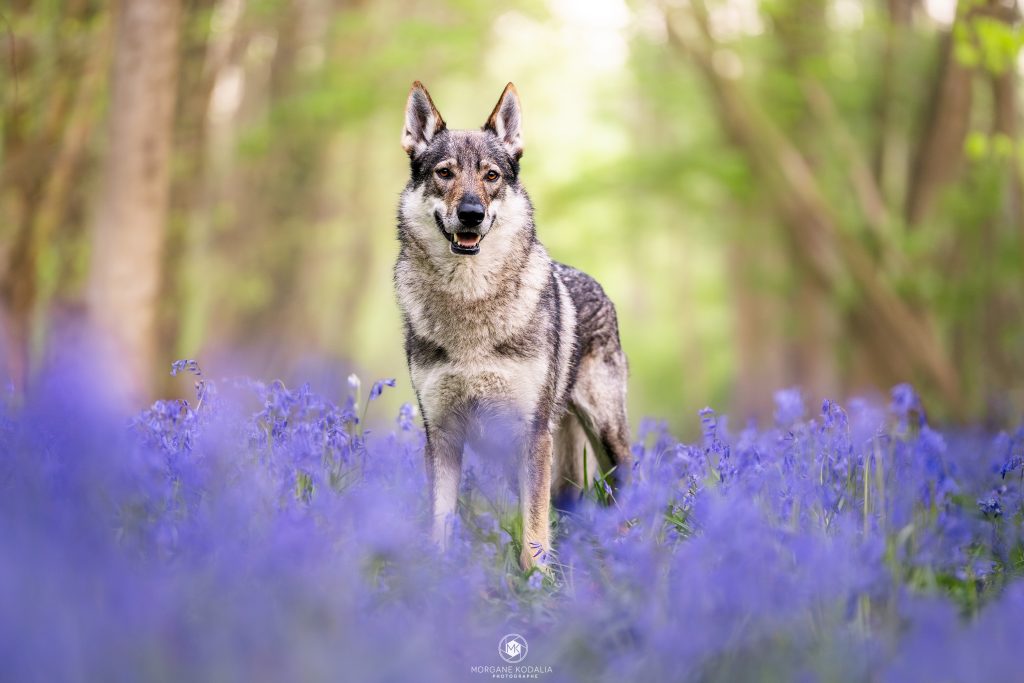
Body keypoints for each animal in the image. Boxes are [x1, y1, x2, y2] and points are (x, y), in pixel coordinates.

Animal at [394, 81, 632, 571]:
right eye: (445, 173)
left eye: (491, 176)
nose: (471, 213)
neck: (470, 304)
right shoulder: (441, 434)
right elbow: (441, 520)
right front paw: (436, 574)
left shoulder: (532, 434)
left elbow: (535, 526)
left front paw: (537, 580)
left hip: (603, 432)